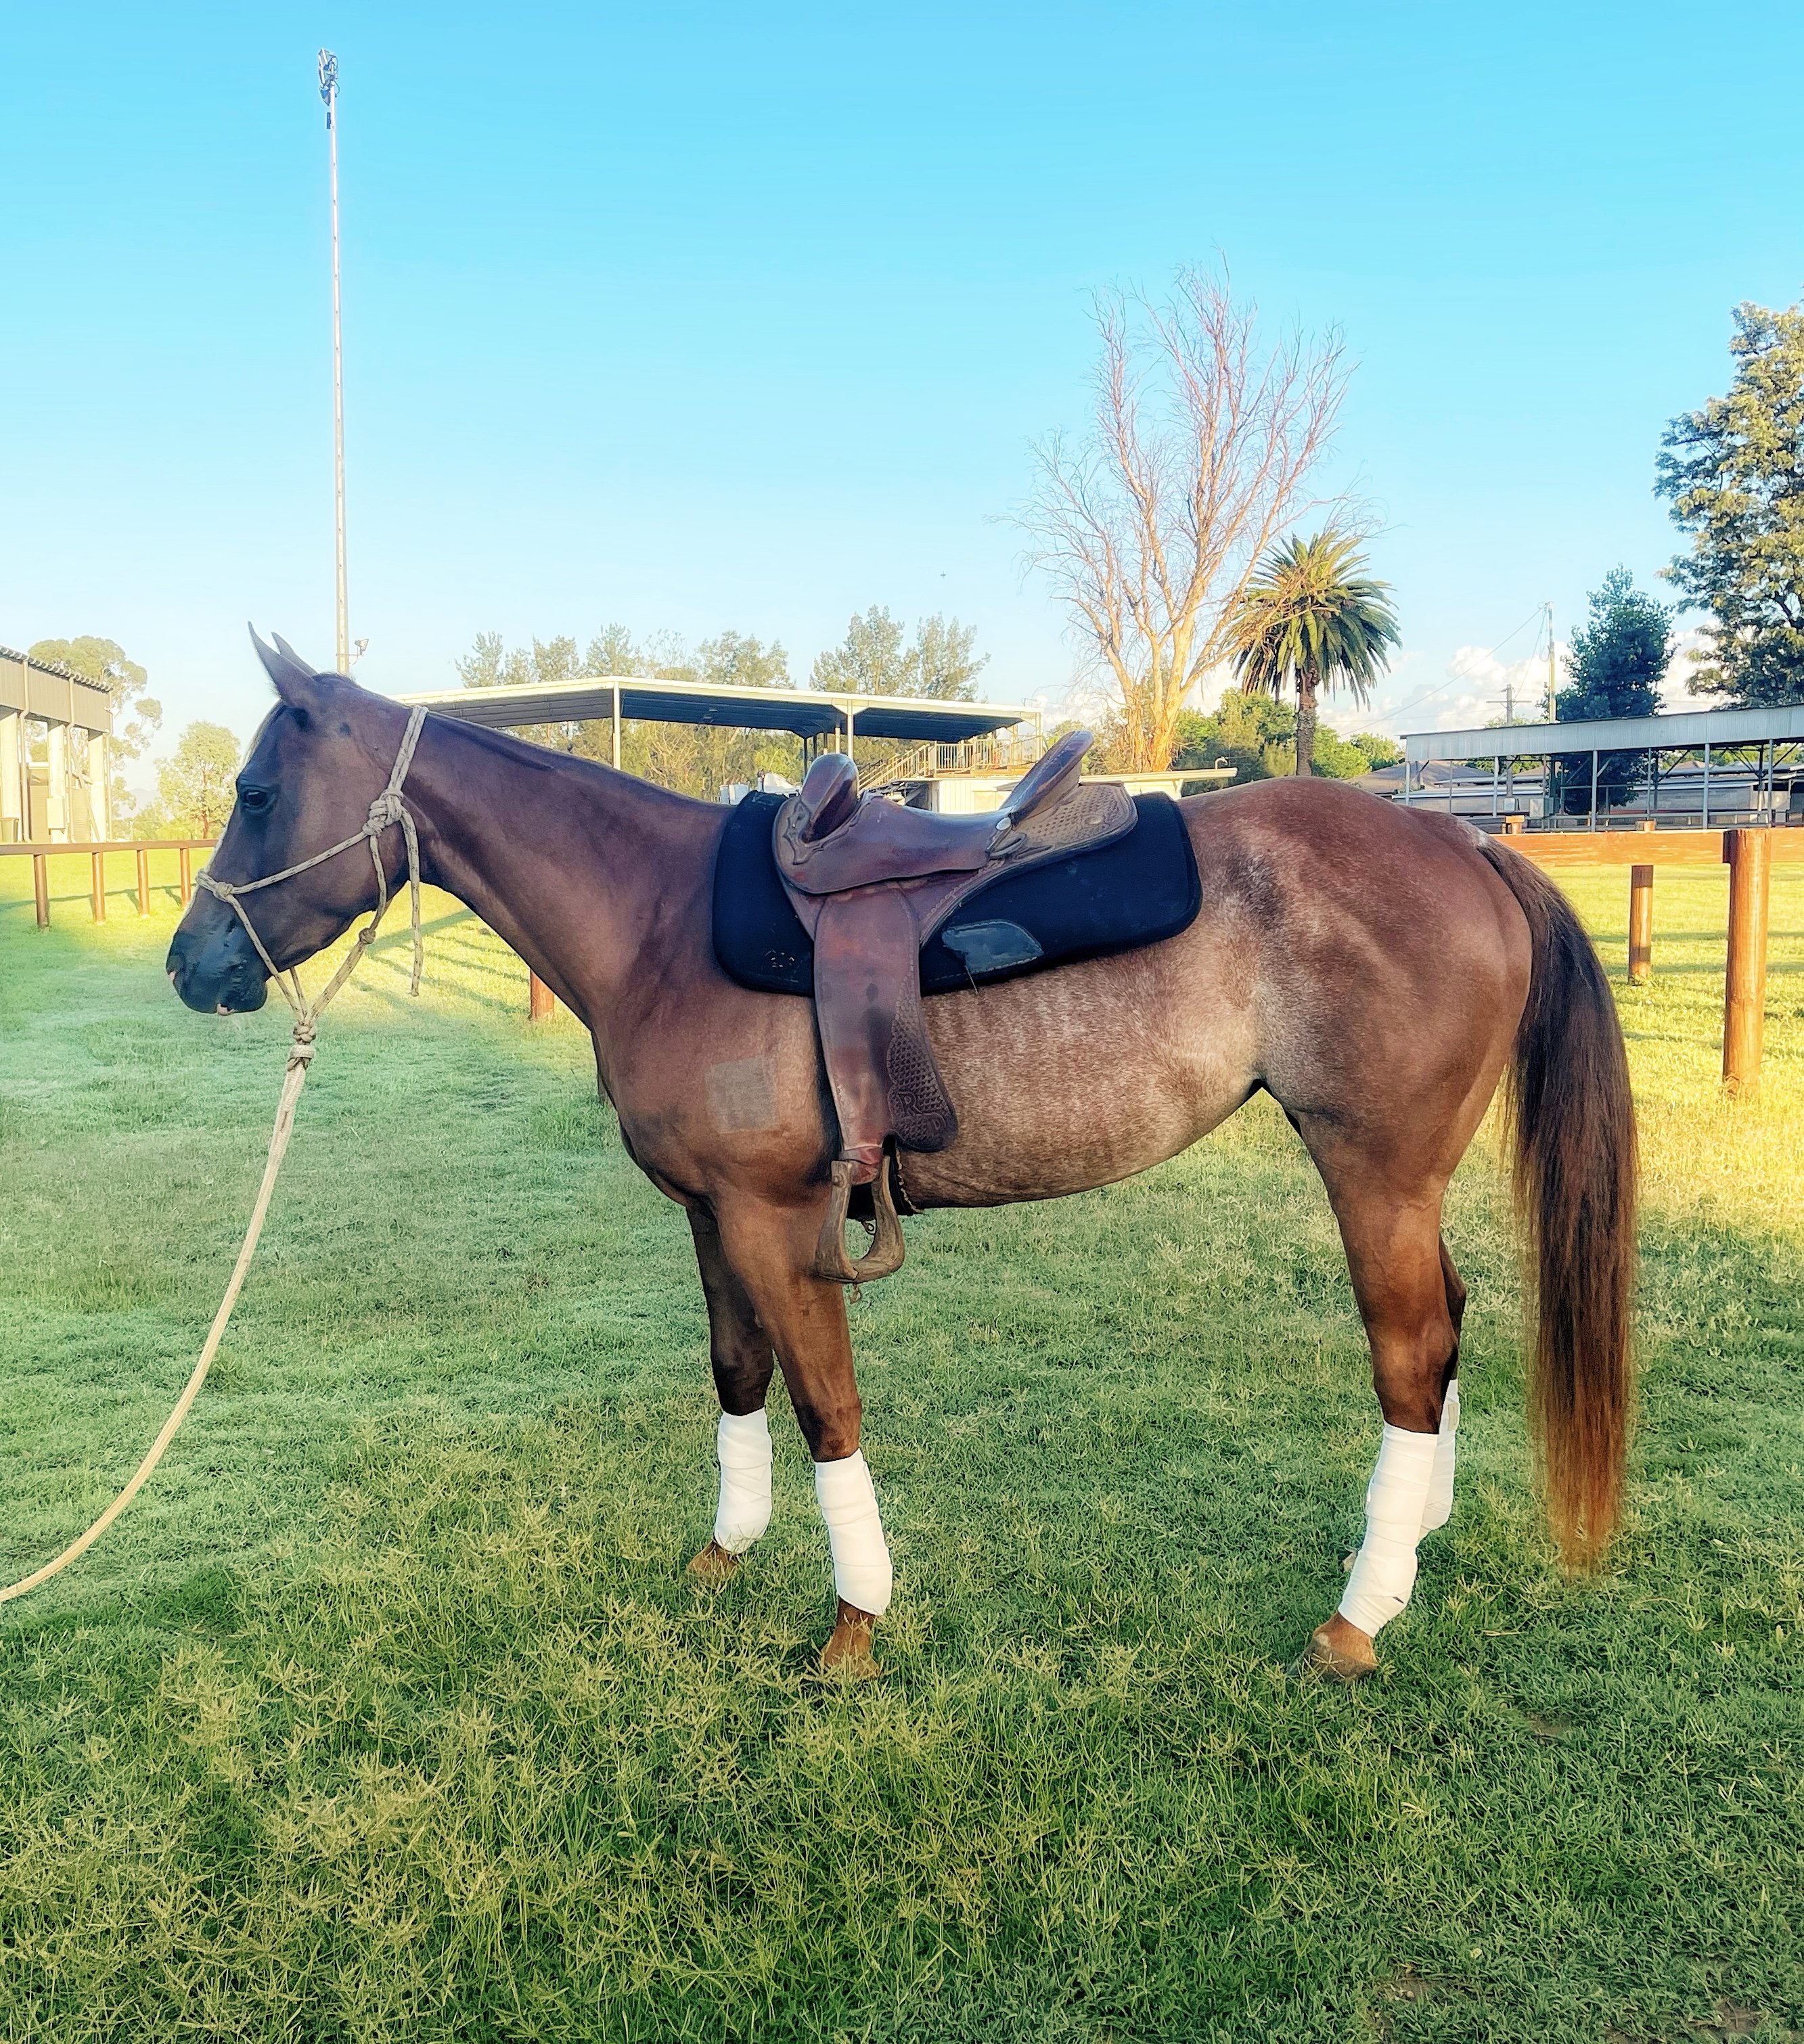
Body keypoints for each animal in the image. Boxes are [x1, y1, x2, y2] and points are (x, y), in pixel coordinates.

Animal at [166, 640, 1636, 1680]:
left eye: (254, 792)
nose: (192, 962)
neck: (659, 922)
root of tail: (1462, 839)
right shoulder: (709, 1217)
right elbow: (738, 1373)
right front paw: (724, 1555)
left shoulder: (776, 1222)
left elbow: (827, 1405)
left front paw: (852, 1623)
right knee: (1444, 1334)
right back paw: (1414, 1541)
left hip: (1370, 1170)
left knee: (1408, 1350)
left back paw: (1357, 1616)